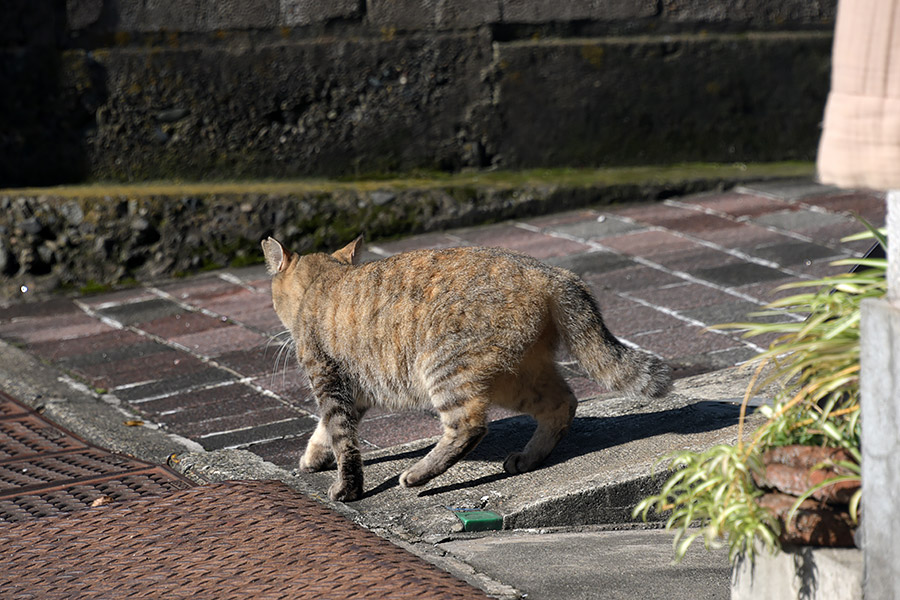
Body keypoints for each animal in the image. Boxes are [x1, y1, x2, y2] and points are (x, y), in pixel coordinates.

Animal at [260, 234, 668, 502]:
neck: (322, 283)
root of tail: (550, 272)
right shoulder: (355, 389)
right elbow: (326, 430)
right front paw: (314, 456)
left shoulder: (329, 379)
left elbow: (343, 438)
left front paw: (347, 487)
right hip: (516, 376)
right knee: (562, 403)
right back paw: (528, 457)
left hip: (444, 367)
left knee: (469, 426)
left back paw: (417, 474)